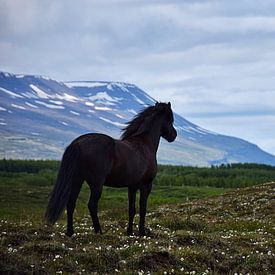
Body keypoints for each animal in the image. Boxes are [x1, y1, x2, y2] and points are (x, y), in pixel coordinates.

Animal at [45, 101, 177, 237]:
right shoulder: (146, 185)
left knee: (71, 203)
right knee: (92, 205)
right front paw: (142, 232)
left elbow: (132, 209)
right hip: (96, 184)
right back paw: (99, 231)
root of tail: (77, 143)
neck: (144, 144)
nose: (174, 135)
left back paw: (70, 232)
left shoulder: (132, 186)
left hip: (77, 180)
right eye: (169, 118)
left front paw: (129, 232)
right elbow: (143, 208)